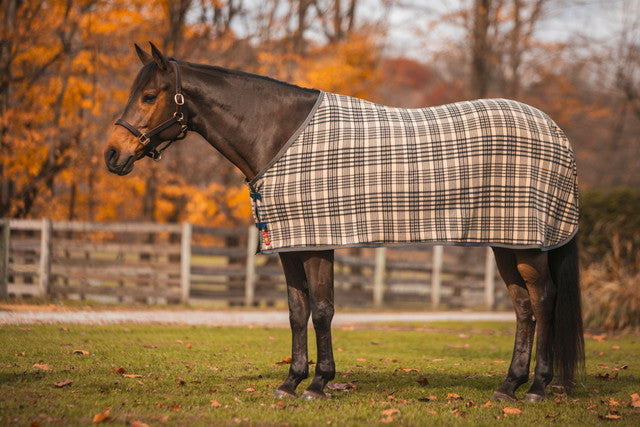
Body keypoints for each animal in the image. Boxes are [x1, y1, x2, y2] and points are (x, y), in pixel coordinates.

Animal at [105, 41, 584, 402]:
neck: (277, 135)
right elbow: (297, 312)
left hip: (527, 245)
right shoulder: (289, 243)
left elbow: (322, 310)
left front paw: (318, 383)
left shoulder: (317, 241)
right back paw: (508, 386)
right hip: (507, 241)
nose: (112, 155)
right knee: (523, 307)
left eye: (149, 96)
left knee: (544, 300)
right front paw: (291, 381)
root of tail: (558, 133)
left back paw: (537, 388)